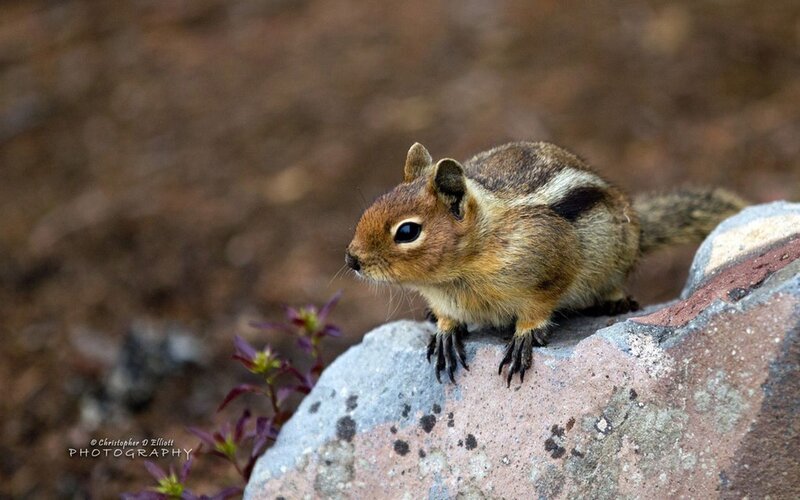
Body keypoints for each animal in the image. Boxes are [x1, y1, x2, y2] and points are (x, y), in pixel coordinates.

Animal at [345, 142, 746, 385]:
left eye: (407, 231)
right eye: (373, 205)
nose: (351, 259)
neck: (457, 277)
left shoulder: (550, 262)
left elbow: (540, 304)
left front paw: (524, 336)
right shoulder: (443, 297)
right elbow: (447, 317)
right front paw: (444, 331)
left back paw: (614, 301)